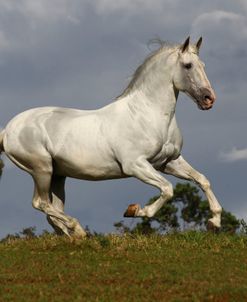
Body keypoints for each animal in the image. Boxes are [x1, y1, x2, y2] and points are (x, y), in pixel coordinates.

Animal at [0, 36, 222, 237]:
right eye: (188, 65)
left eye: (203, 65)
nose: (208, 99)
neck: (147, 114)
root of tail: (8, 130)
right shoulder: (136, 165)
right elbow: (167, 189)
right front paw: (135, 210)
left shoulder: (168, 162)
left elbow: (202, 180)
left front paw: (214, 222)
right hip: (42, 169)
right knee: (41, 203)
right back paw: (78, 229)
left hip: (58, 175)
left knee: (53, 212)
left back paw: (73, 236)